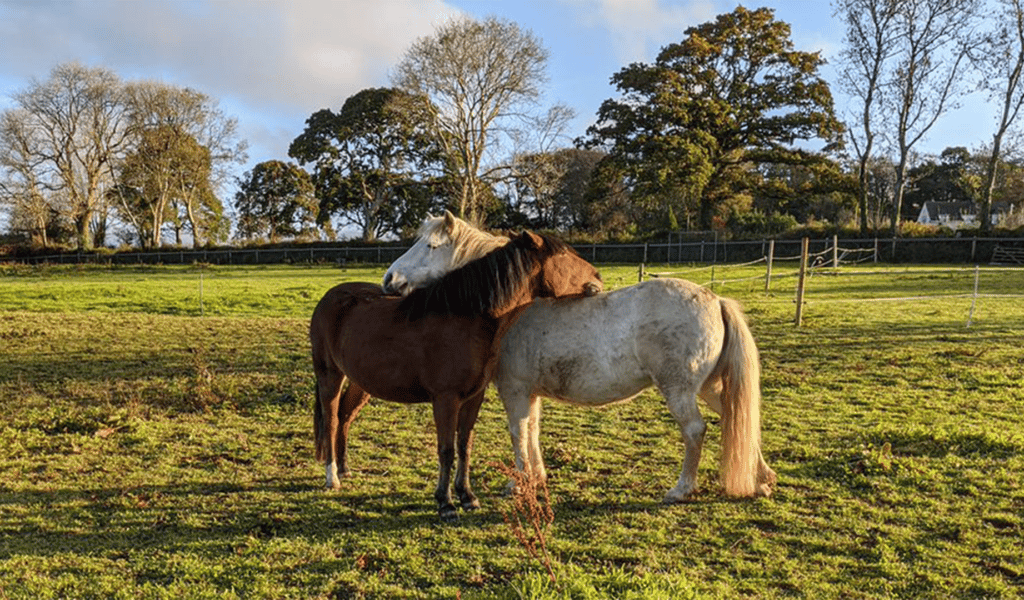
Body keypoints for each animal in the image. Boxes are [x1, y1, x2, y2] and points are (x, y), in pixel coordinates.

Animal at [307, 229, 602, 518]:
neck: (466, 319)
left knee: (345, 415)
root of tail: (330, 297)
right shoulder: (445, 399)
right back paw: (332, 477)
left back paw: (344, 468)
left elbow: (464, 445)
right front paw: (445, 503)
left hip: (360, 382)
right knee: (331, 419)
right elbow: (446, 450)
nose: (598, 277)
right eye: (564, 255)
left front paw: (467, 496)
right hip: (329, 375)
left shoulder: (473, 397)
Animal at [385, 212, 774, 497]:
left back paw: (681, 489)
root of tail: (716, 300)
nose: (390, 280)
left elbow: (518, 433)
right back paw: (762, 479)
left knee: (695, 430)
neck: (516, 309)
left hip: (680, 391)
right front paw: (536, 477)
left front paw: (519, 484)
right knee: (737, 417)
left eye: (431, 245)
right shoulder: (531, 394)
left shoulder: (515, 391)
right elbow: (533, 432)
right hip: (710, 387)